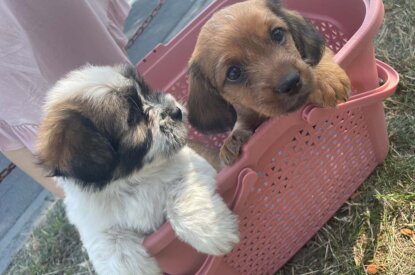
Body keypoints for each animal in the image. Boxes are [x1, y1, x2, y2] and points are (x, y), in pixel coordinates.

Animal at [36, 65, 240, 275]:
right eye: (133, 118)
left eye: (146, 92)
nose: (176, 111)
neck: (135, 179)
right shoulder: (95, 226)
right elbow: (109, 244)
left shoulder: (192, 166)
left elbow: (179, 190)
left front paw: (209, 230)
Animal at [188, 0, 352, 166]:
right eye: (233, 73)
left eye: (277, 34)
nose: (291, 82)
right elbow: (241, 122)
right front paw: (230, 140)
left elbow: (312, 61)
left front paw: (327, 78)